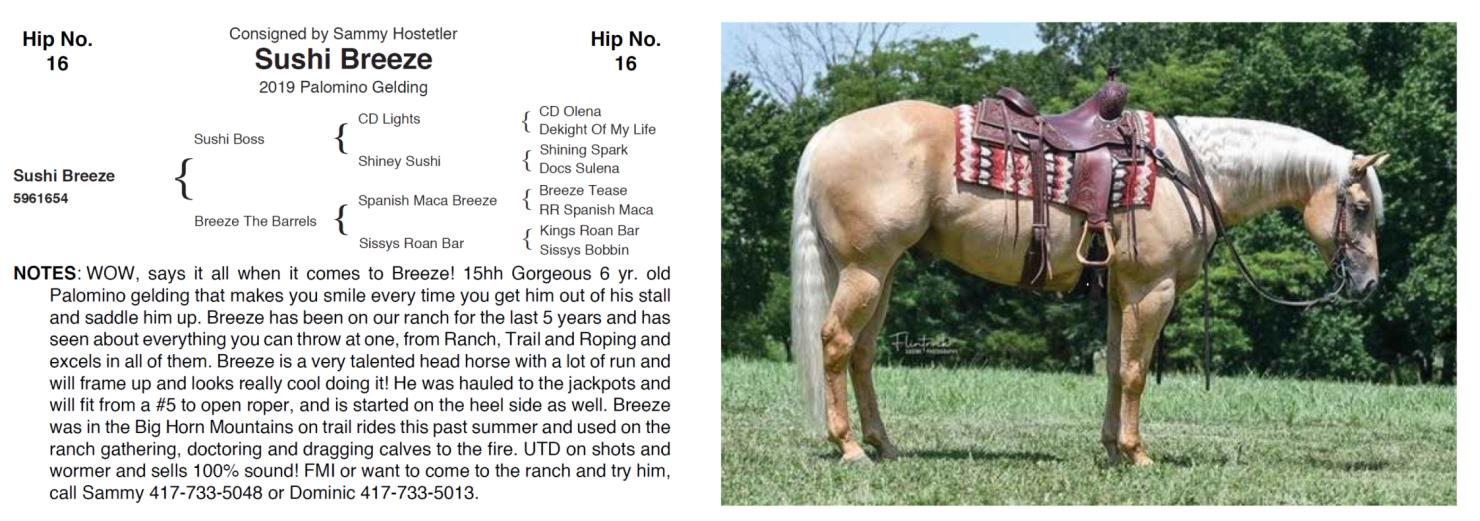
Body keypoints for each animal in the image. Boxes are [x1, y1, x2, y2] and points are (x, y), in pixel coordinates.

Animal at [789, 99, 1387, 465]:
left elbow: (1115, 369)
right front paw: (1138, 453)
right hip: (866, 269)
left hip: (882, 271)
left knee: (863, 353)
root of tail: (824, 136)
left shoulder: (1123, 293)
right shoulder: (1152, 290)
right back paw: (849, 447)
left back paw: (884, 445)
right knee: (836, 343)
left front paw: (1113, 448)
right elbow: (1136, 373)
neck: (1189, 174)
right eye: (1360, 208)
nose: (1368, 283)